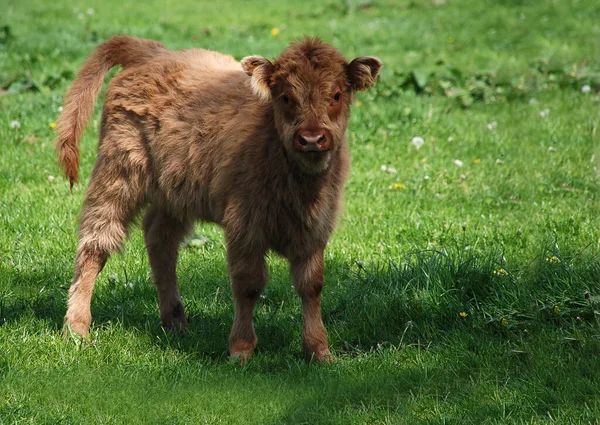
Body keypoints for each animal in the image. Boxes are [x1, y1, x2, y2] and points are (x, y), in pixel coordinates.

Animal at [57, 36, 380, 362]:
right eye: (286, 97)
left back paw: (175, 321)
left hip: (174, 192)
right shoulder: (244, 226)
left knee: (160, 239)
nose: (312, 138)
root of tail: (154, 51)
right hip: (118, 172)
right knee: (96, 243)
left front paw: (319, 351)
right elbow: (248, 284)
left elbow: (311, 285)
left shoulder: (316, 228)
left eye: (336, 94)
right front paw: (241, 350)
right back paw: (77, 327)